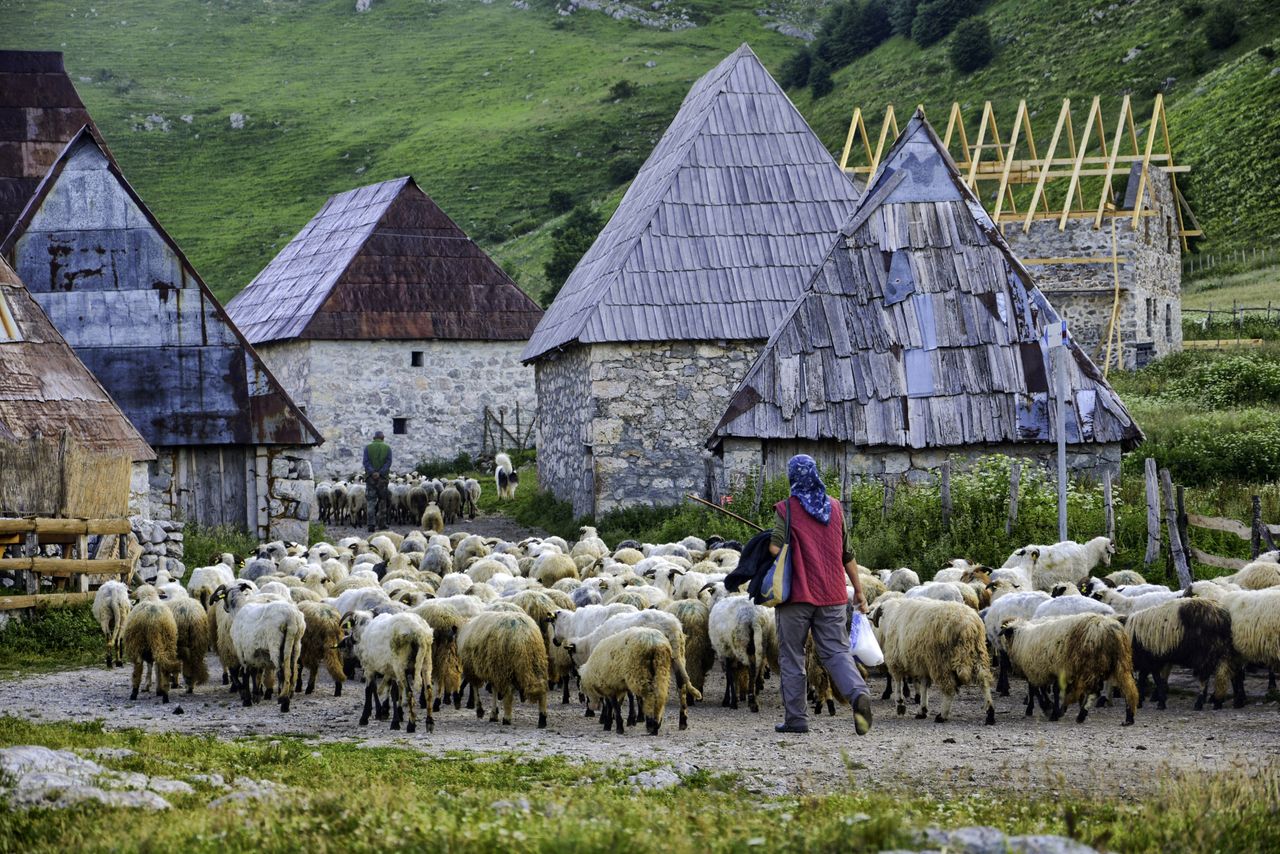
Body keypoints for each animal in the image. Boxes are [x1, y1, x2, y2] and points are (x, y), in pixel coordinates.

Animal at [865, 599, 993, 727]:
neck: (890, 616)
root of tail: (969, 625)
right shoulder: (923, 665)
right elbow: (924, 687)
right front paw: (922, 710)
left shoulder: (896, 661)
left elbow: (898, 682)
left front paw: (900, 705)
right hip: (978, 654)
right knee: (984, 682)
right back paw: (990, 713)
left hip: (941, 663)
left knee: (950, 690)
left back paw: (942, 716)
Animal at [998, 617, 1141, 727]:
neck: (1021, 638)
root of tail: (1110, 629)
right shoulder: (1048, 671)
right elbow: (1045, 690)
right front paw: (1053, 708)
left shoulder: (1038, 671)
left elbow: (1039, 690)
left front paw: (1049, 709)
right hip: (1121, 663)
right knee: (1129, 689)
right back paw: (1129, 718)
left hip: (1090, 665)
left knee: (1094, 691)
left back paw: (1081, 714)